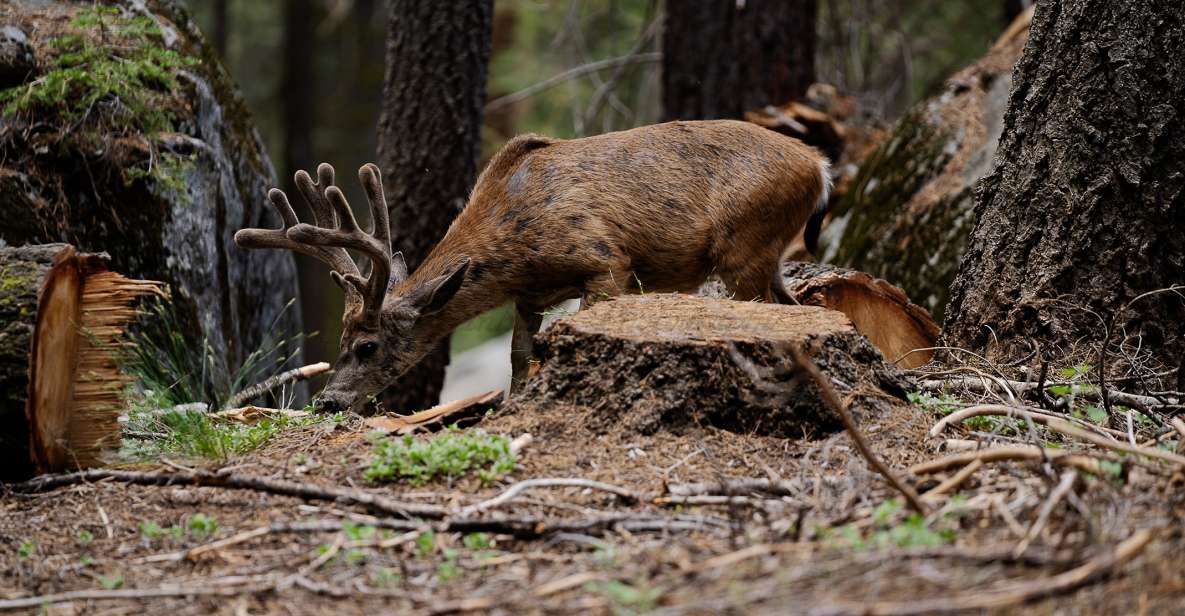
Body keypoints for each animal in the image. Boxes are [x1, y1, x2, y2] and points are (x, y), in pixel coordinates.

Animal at [235, 119, 829, 414]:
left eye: (367, 346)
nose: (329, 401)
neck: (514, 242)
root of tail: (819, 165)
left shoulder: (606, 260)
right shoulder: (529, 294)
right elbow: (520, 356)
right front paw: (513, 407)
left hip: (744, 245)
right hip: (767, 256)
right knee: (802, 307)